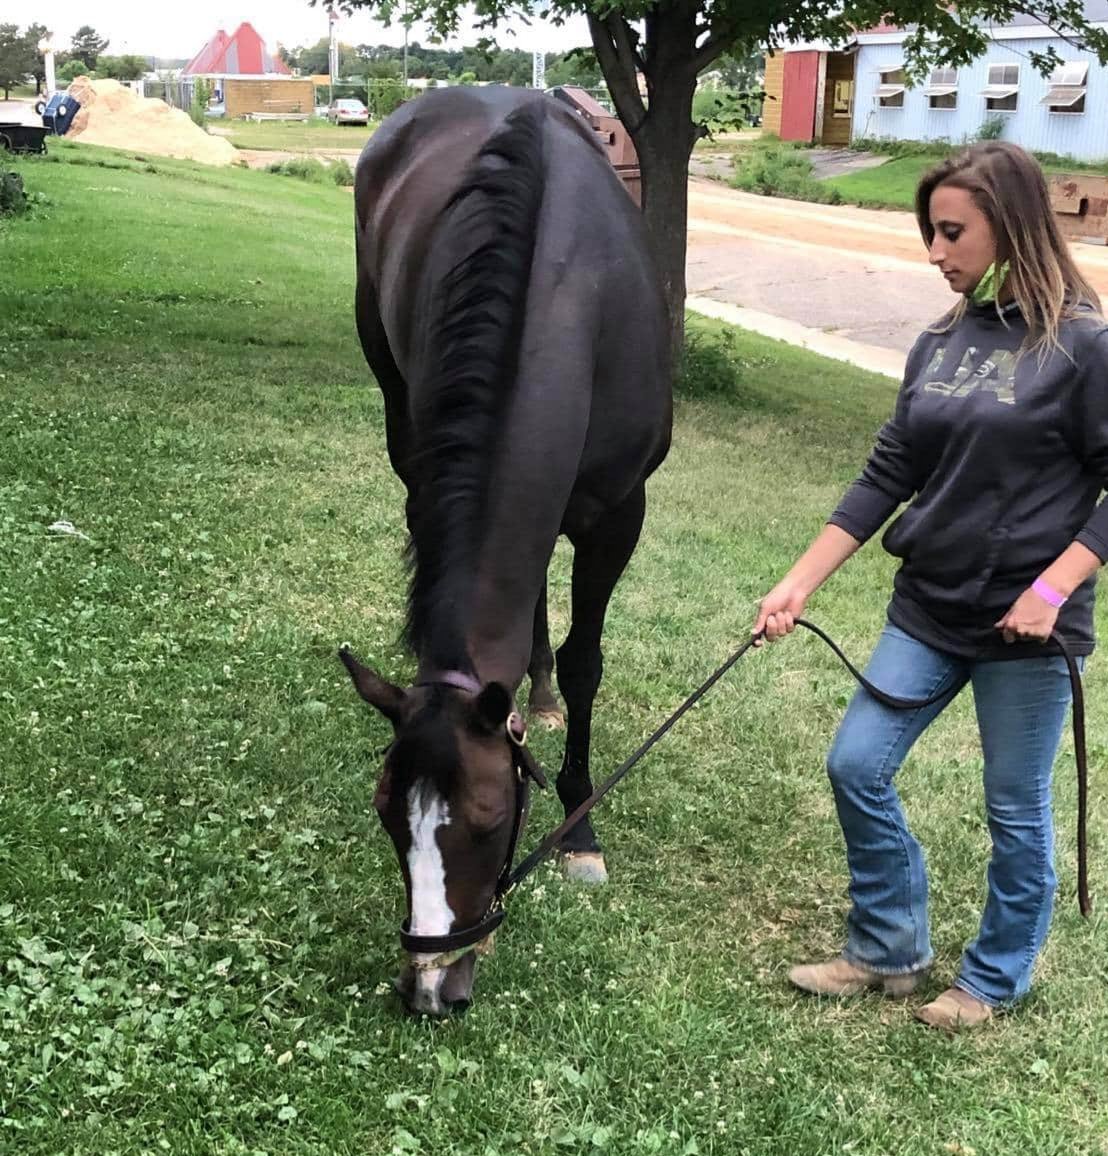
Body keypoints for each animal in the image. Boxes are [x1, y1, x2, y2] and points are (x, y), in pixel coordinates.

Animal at [343, 86, 671, 1016]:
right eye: (385, 813)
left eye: (491, 818)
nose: (430, 986)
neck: (568, 290)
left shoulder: (618, 514)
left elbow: (589, 657)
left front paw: (581, 826)